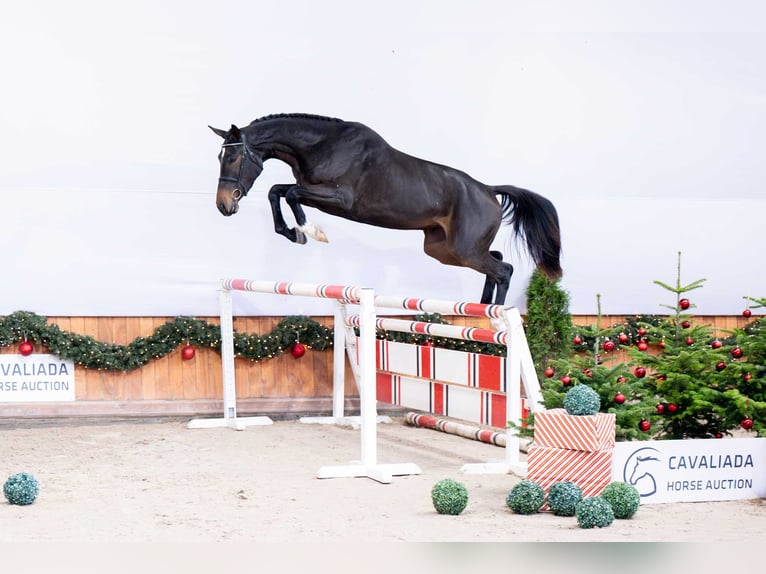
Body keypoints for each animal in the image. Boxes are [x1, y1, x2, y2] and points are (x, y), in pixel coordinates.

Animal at [209, 113, 562, 305]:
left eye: (234, 157)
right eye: (220, 157)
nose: (224, 205)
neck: (321, 145)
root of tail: (489, 191)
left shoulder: (340, 199)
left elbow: (290, 193)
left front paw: (311, 231)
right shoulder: (316, 193)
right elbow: (278, 191)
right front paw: (294, 233)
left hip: (463, 249)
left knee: (504, 269)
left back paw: (495, 316)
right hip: (445, 249)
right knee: (496, 260)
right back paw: (482, 309)